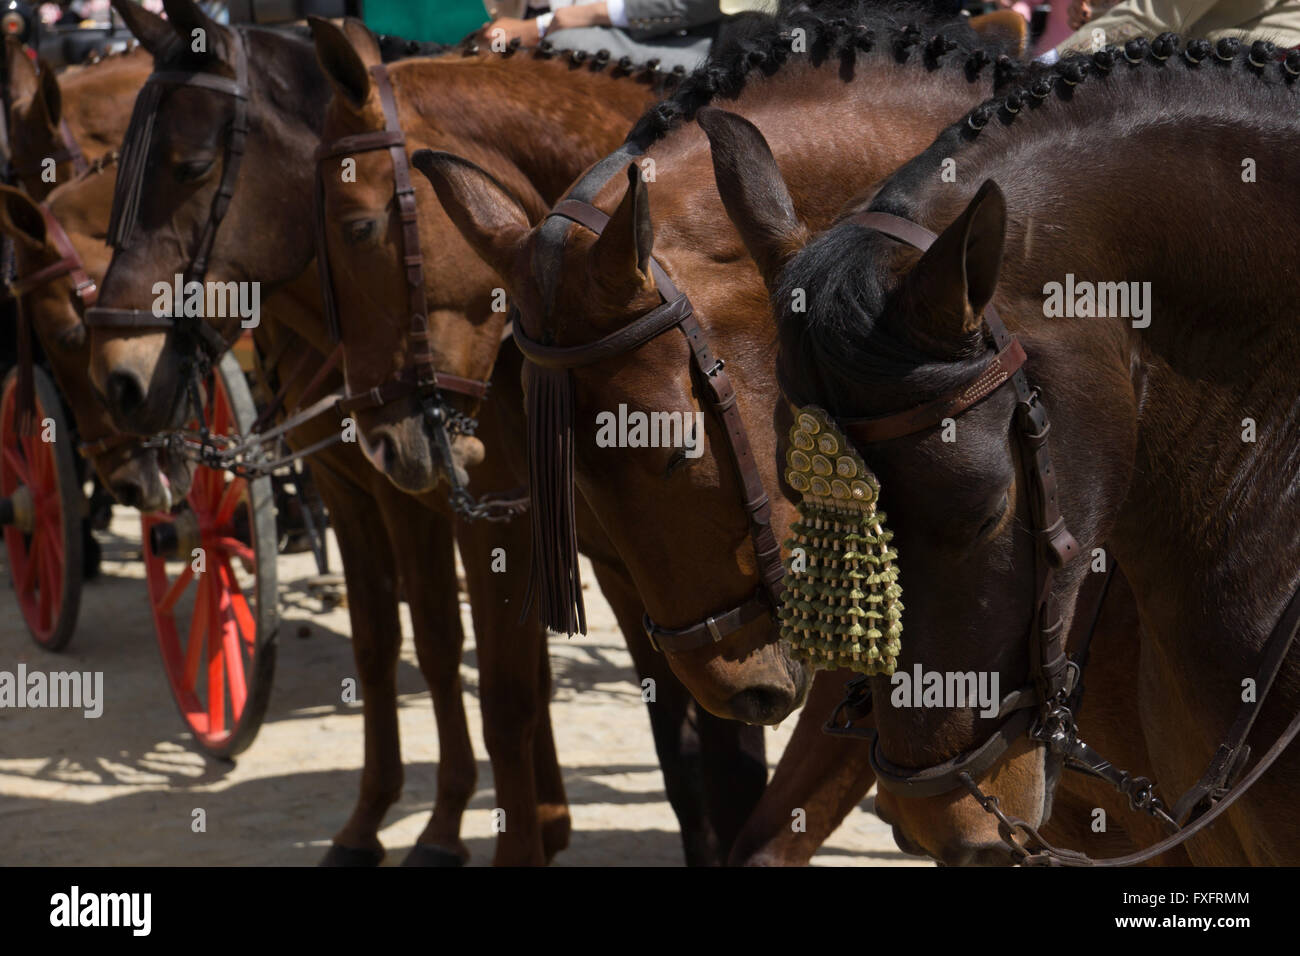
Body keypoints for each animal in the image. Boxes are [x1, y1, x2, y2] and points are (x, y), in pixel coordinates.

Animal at [81, 0, 764, 868]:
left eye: (192, 166)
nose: (117, 378)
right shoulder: (385, 493)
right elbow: (405, 650)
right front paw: (399, 822)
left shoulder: (497, 515)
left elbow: (510, 691)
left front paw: (498, 832)